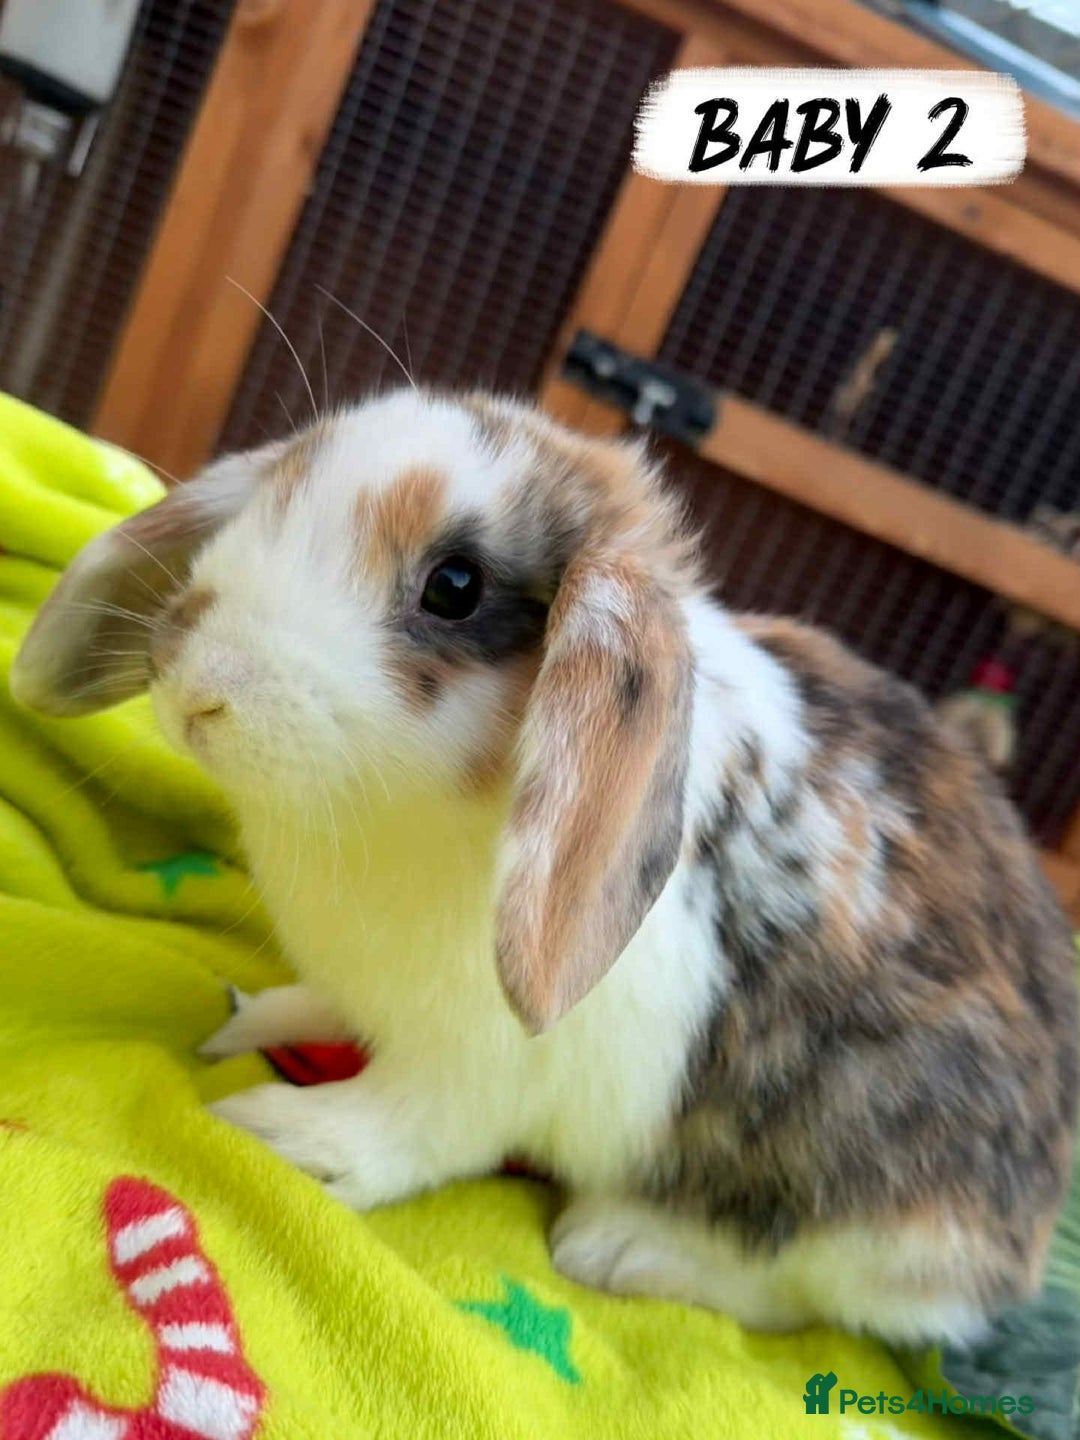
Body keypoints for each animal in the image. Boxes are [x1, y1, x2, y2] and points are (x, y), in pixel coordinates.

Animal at [12, 388, 1078, 1347]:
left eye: (455, 586)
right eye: (280, 489)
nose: (196, 680)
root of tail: (1026, 1230)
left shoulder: (488, 1064)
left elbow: (417, 1124)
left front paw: (283, 1133)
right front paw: (262, 1021)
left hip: (869, 1182)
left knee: (814, 1296)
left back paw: (620, 1248)